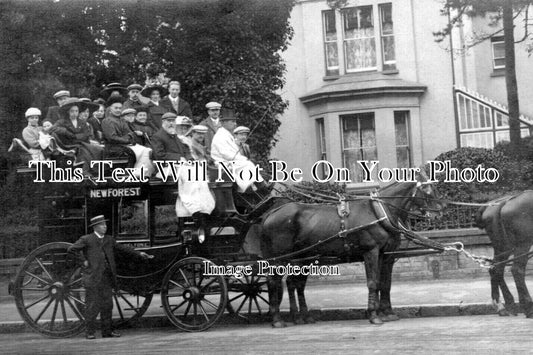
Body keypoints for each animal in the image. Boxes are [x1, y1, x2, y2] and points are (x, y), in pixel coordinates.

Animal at [247, 172, 442, 328]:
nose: (439, 213)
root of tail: (271, 213)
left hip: (302, 258)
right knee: (274, 283)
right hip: (279, 258)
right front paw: (373, 315)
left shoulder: (385, 254)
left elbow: (384, 283)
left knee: (294, 284)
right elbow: (373, 283)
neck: (380, 212)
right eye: (428, 189)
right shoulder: (371, 252)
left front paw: (386, 313)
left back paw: (301, 316)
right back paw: (277, 319)